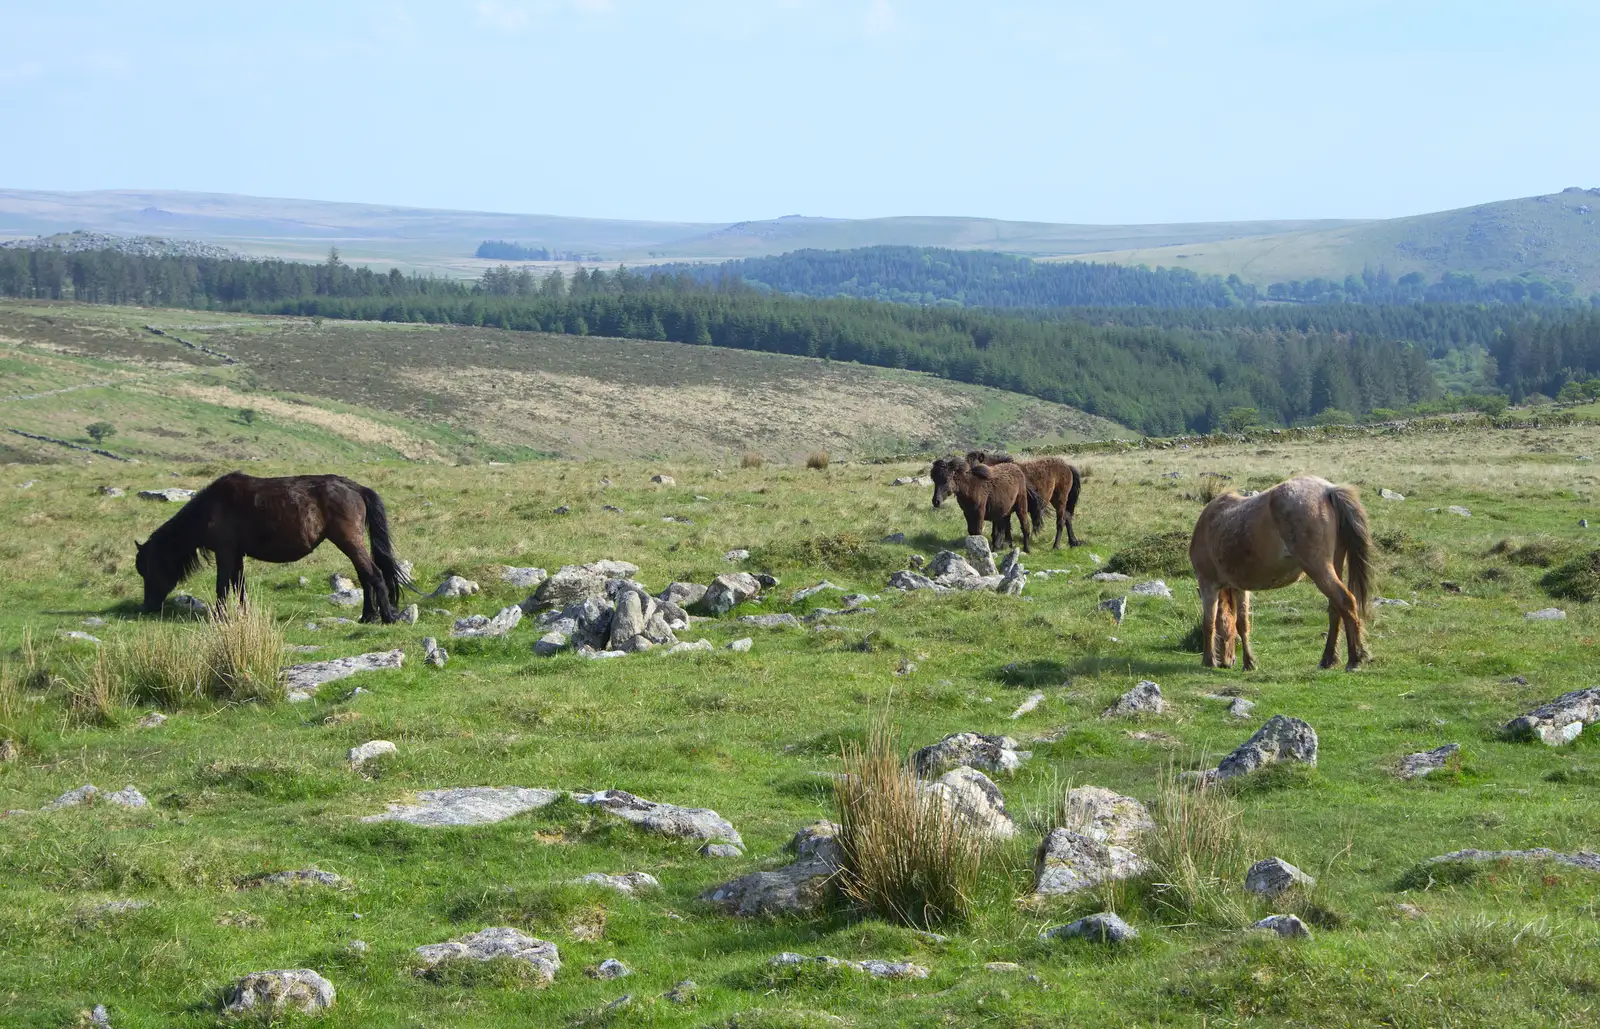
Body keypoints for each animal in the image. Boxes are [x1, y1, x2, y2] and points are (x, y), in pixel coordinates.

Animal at [135, 470, 412, 624]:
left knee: (374, 574)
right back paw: (367, 616)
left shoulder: (225, 552)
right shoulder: (237, 555)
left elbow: (222, 586)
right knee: (365, 576)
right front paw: (242, 614)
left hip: (348, 539)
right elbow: (239, 586)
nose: (147, 607)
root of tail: (356, 487)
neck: (210, 508)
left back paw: (386, 617)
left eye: (148, 570)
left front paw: (221, 616)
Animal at [960, 448, 1088, 547]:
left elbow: (1004, 525)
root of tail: (1067, 466)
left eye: (976, 468)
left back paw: (1056, 546)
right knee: (1067, 517)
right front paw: (1007, 543)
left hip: (1060, 500)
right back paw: (1073, 542)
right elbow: (1005, 525)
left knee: (1061, 521)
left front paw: (1003, 543)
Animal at [1190, 473, 1376, 672]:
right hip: (1334, 564)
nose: (1226, 662)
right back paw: (1328, 659)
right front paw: (1249, 662)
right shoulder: (1240, 588)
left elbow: (1209, 623)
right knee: (1336, 608)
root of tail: (1328, 490)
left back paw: (1355, 659)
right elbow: (1242, 623)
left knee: (1346, 601)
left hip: (1318, 568)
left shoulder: (1208, 584)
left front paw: (1208, 660)